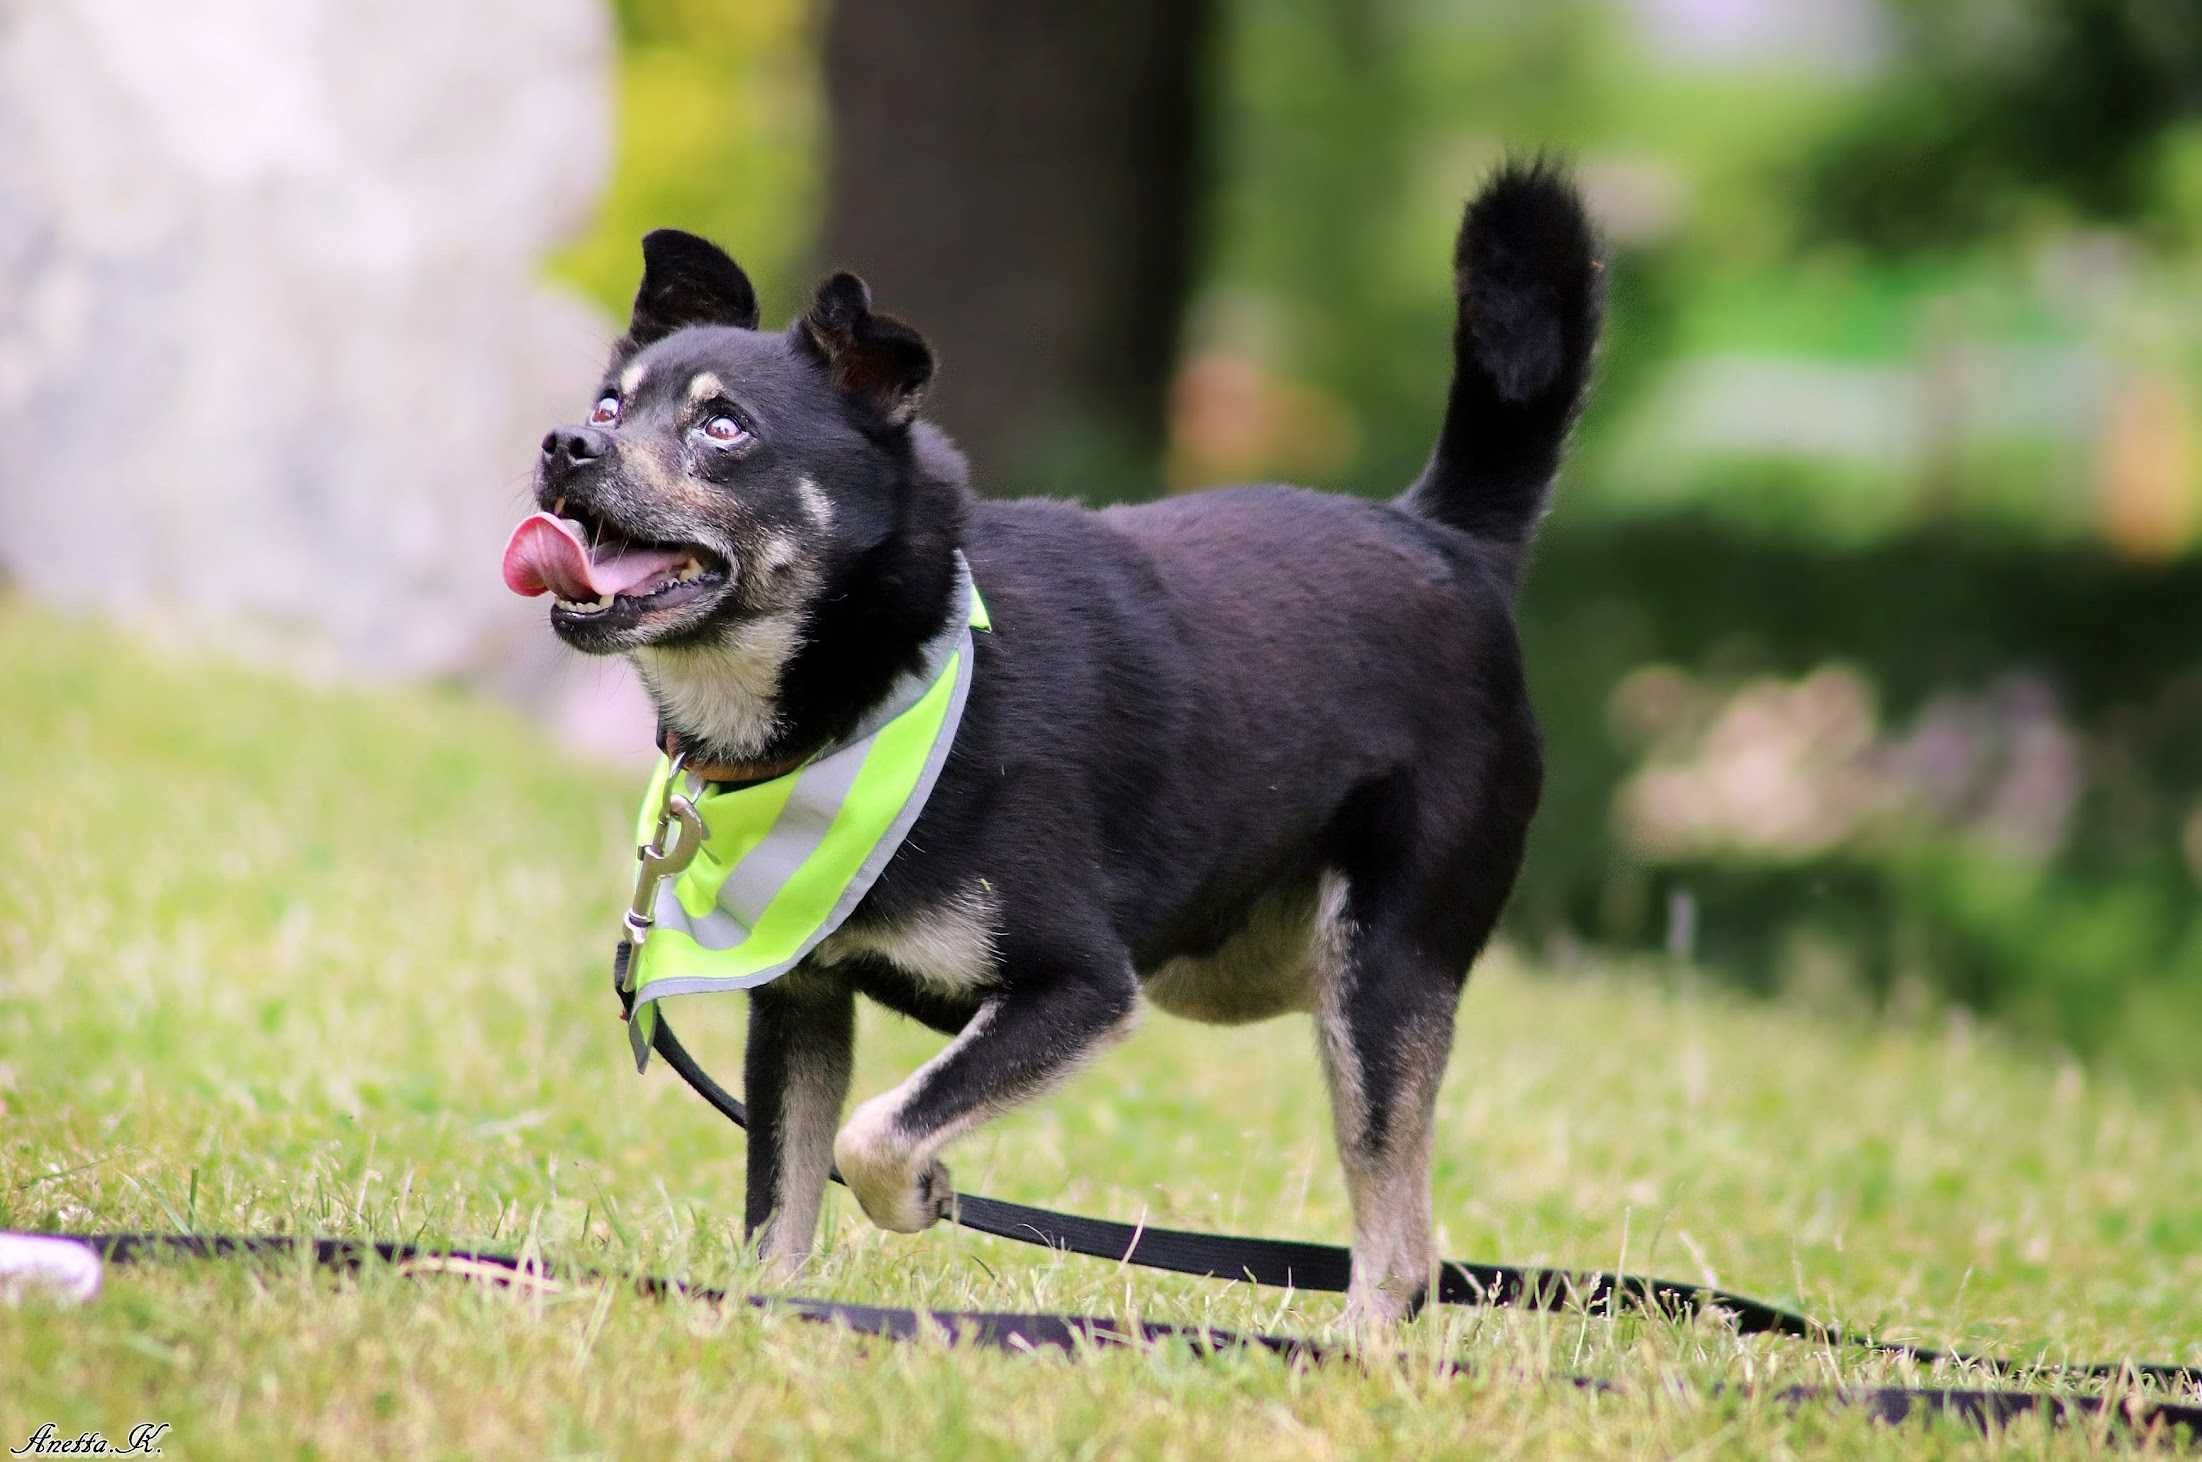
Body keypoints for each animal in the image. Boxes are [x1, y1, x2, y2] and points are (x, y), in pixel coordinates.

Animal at [510, 162, 1603, 1321]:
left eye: (724, 429)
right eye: (611, 405)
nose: (566, 443)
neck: (886, 685)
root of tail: (1447, 538)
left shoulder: (1079, 986)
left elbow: (876, 1138)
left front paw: (924, 1192)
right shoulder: (802, 1004)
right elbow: (784, 1203)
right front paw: (777, 1318)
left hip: (1379, 974)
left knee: (1401, 1243)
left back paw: (1358, 1345)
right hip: (1241, 966)